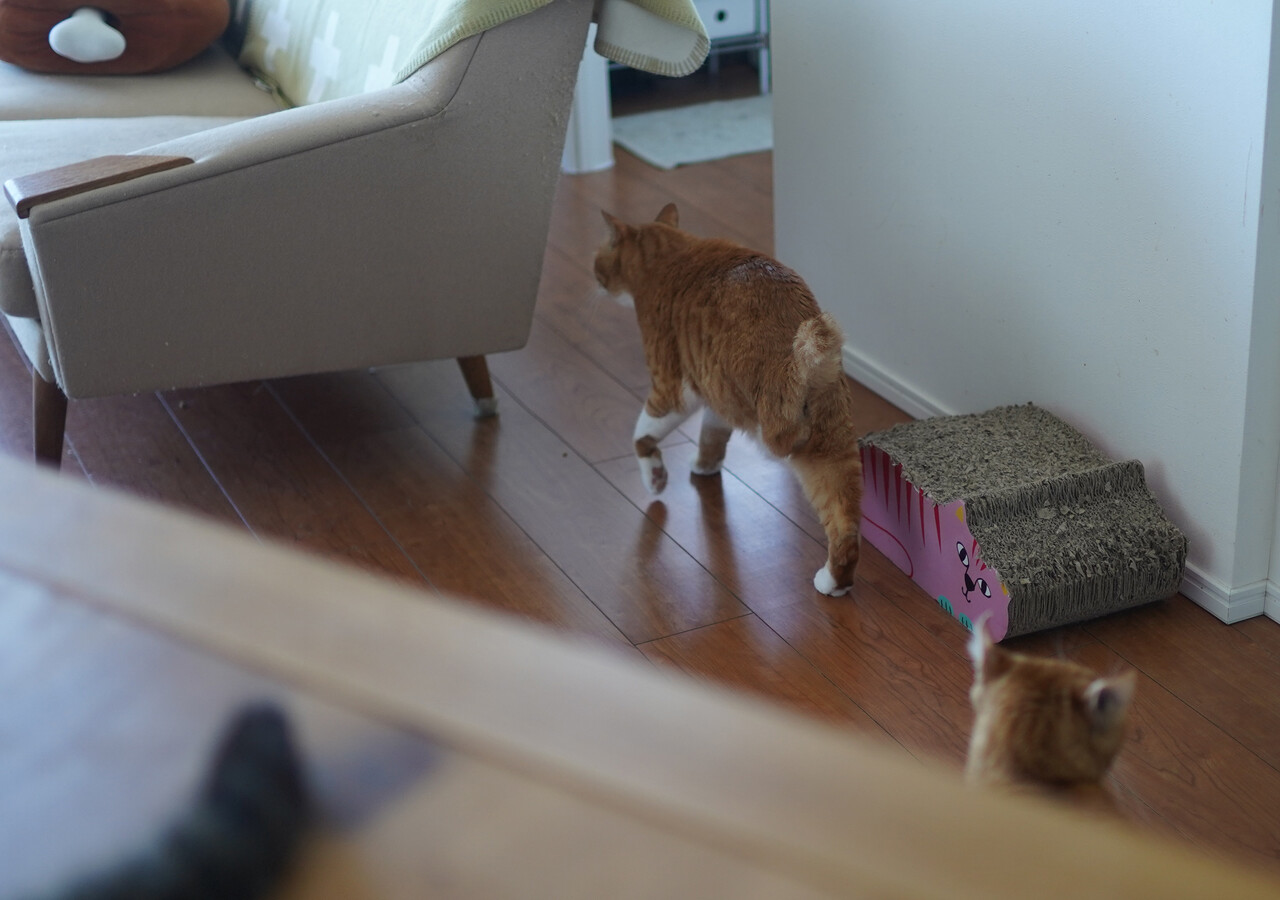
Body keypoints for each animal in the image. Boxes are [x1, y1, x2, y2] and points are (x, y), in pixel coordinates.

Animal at [594, 203, 863, 596]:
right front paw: (705, 466)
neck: (670, 253)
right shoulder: (714, 394)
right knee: (845, 527)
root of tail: (794, 361)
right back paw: (833, 582)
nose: (595, 280)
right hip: (830, 451)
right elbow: (712, 434)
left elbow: (641, 436)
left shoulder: (673, 389)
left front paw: (656, 477)